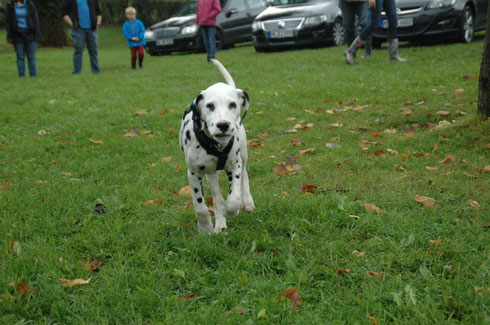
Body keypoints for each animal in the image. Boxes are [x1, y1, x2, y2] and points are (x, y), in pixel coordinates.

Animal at [181, 58, 256, 233]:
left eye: (233, 105)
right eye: (210, 106)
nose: (223, 125)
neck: (216, 146)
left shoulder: (234, 166)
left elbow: (234, 198)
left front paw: (231, 210)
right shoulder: (194, 173)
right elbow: (200, 207)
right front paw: (205, 228)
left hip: (243, 155)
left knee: (245, 175)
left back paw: (247, 202)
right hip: (210, 175)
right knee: (216, 198)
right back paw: (220, 223)